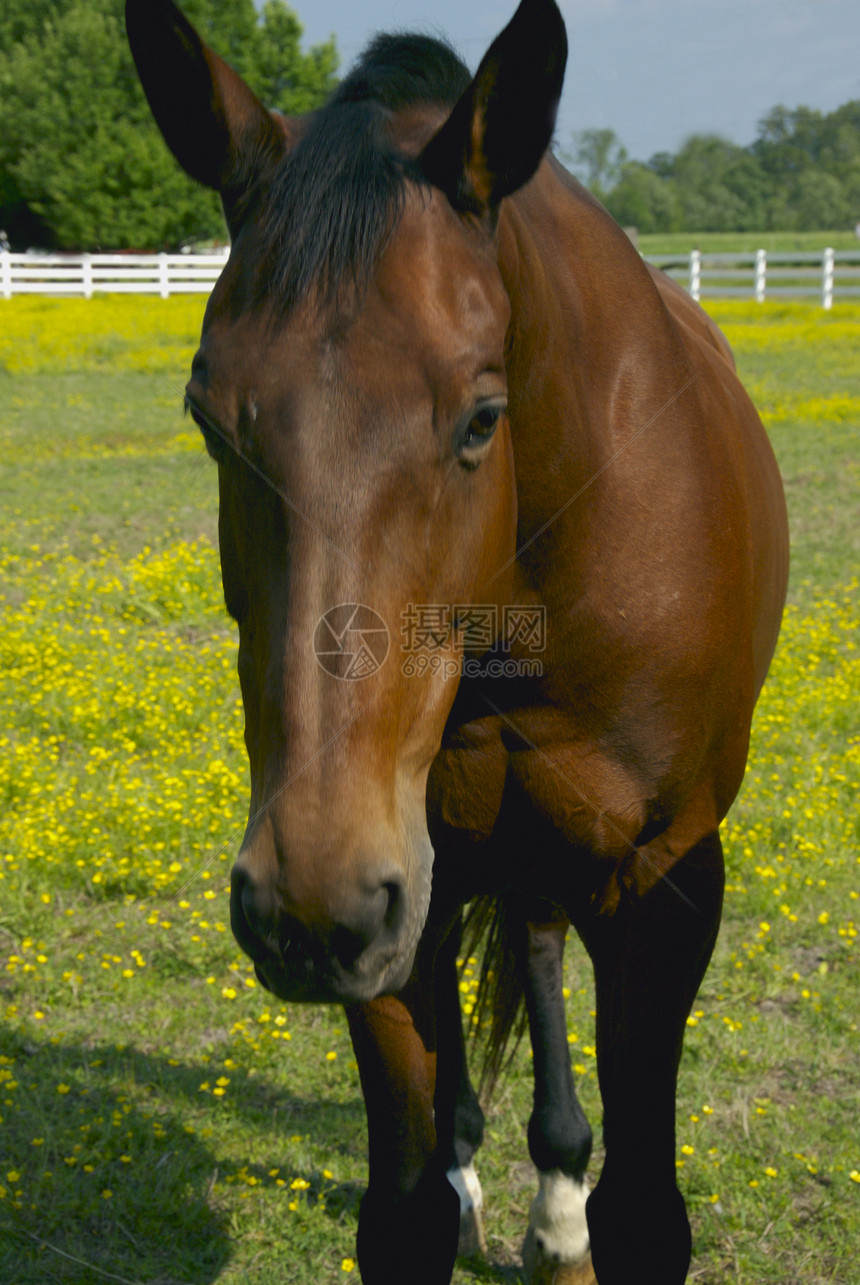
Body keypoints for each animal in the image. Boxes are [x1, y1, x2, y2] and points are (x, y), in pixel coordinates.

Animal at [125, 0, 786, 1279]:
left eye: (482, 417)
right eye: (207, 418)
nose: (306, 900)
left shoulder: (668, 883)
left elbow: (648, 1216)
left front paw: (576, 1208)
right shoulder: (395, 915)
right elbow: (407, 1211)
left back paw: (556, 1205)